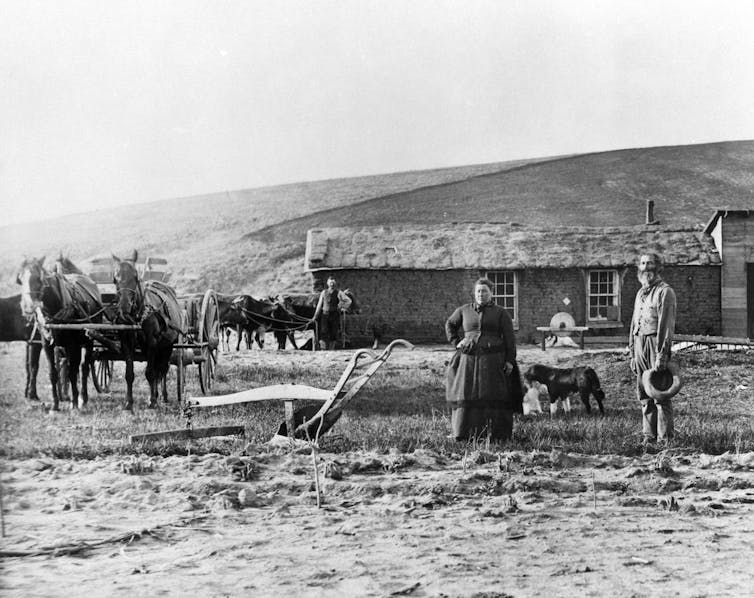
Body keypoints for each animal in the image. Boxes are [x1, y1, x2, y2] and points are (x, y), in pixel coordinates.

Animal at [16, 255, 103, 410]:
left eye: (38, 278)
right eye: (20, 279)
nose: (27, 307)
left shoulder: (73, 345)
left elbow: (73, 372)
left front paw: (74, 403)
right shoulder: (47, 344)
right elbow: (54, 373)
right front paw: (55, 404)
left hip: (89, 340)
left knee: (84, 366)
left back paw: (83, 397)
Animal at [111, 253, 182, 412]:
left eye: (136, 276)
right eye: (115, 278)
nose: (124, 306)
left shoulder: (152, 343)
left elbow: (150, 373)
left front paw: (152, 401)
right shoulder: (127, 343)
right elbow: (129, 373)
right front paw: (128, 402)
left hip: (168, 345)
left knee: (162, 369)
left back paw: (163, 396)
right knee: (157, 369)